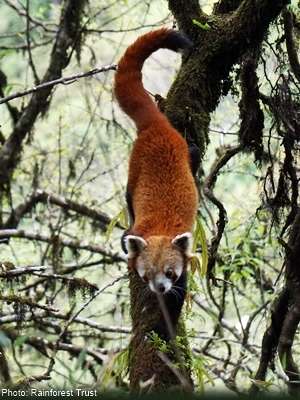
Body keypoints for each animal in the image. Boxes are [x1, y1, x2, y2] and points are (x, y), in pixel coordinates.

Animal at [113, 28, 198, 340]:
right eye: (148, 273)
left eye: (169, 272)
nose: (159, 287)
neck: (161, 228)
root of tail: (156, 126)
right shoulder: (135, 231)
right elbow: (126, 239)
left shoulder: (184, 265)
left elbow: (177, 298)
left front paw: (163, 329)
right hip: (136, 168)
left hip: (182, 149)